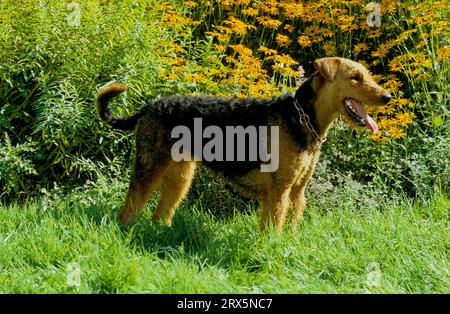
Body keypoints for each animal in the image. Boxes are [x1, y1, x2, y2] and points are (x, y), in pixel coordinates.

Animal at [97, 57, 390, 233]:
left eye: (366, 75)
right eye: (355, 77)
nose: (387, 97)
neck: (302, 118)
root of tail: (148, 107)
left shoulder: (297, 192)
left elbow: (290, 225)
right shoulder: (281, 191)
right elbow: (274, 226)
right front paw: (272, 249)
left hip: (181, 176)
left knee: (160, 213)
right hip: (149, 167)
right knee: (129, 208)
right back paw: (124, 233)